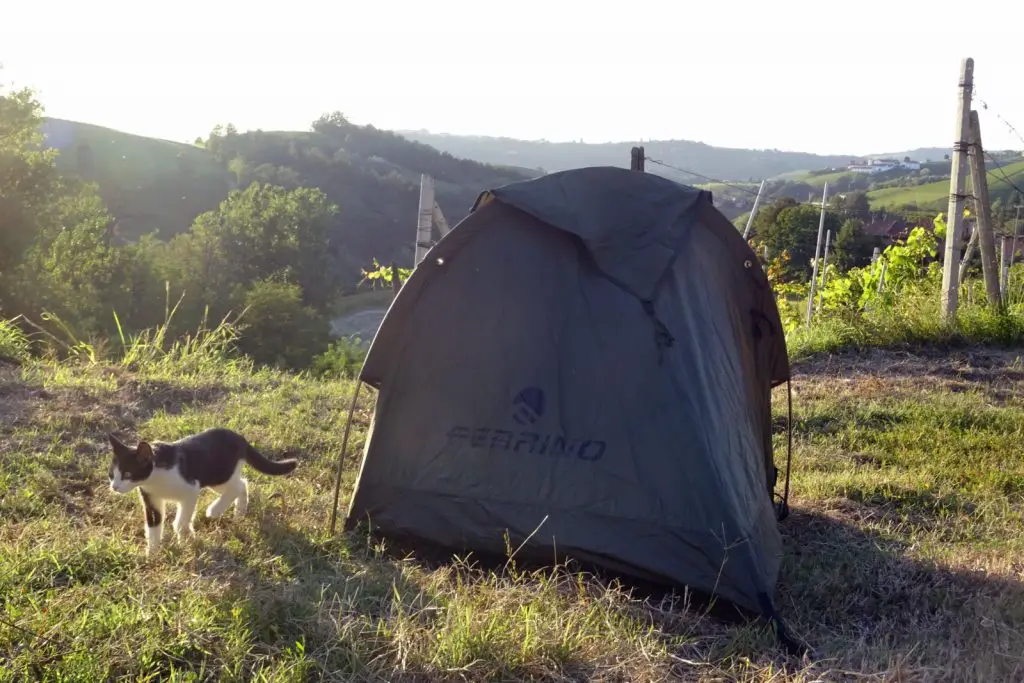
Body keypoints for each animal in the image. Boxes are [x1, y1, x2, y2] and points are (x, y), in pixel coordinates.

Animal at [107, 430, 296, 557]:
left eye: (127, 474)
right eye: (111, 475)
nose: (115, 487)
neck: (155, 478)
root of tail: (239, 437)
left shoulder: (191, 490)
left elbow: (181, 521)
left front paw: (185, 537)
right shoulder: (151, 498)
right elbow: (153, 525)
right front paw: (152, 553)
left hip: (219, 474)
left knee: (237, 486)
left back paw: (215, 510)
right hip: (217, 478)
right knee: (242, 484)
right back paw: (239, 513)